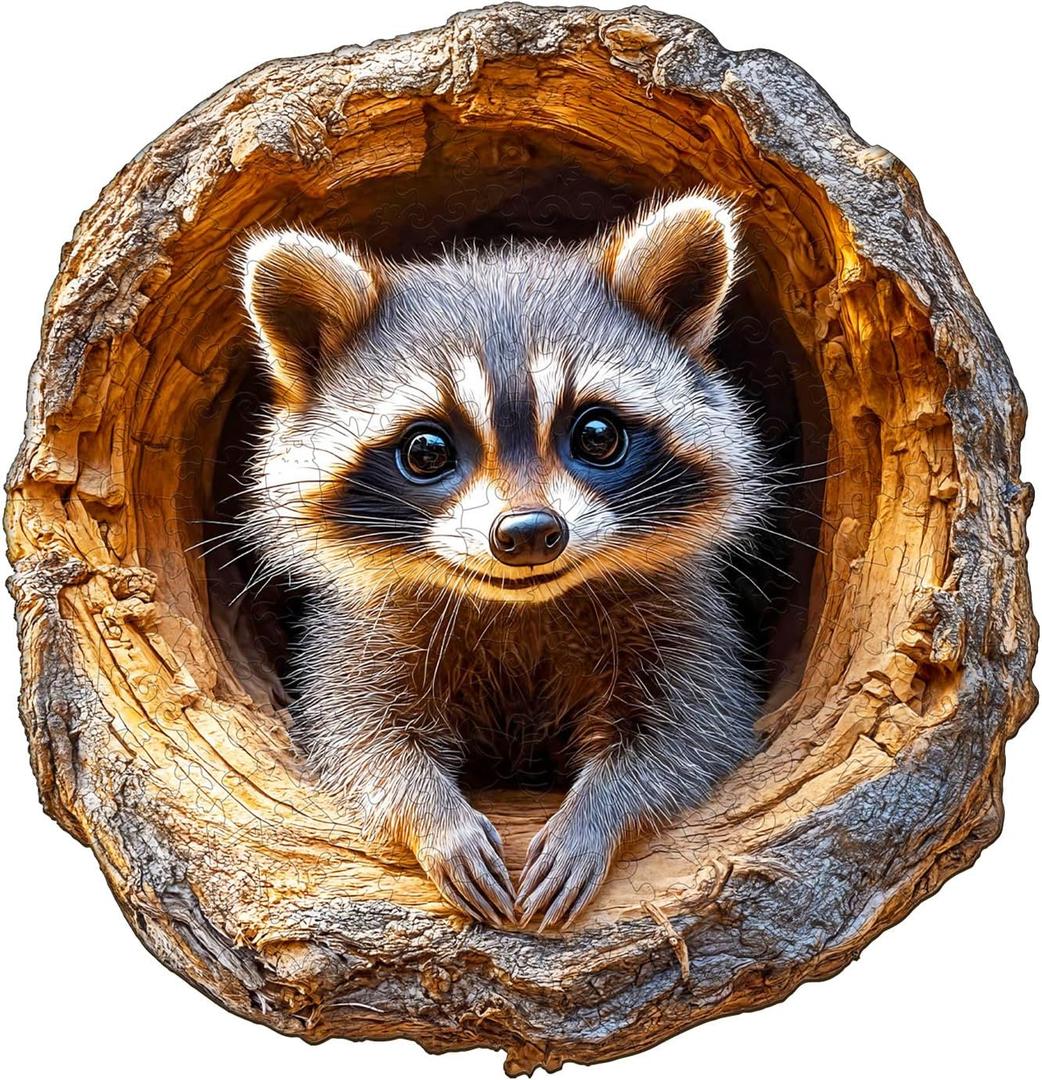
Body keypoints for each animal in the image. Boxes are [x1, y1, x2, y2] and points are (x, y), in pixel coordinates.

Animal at [235, 190, 770, 930]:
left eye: (597, 435)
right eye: (426, 450)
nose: (528, 533)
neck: (520, 603)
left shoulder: (685, 622)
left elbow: (688, 732)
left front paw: (597, 814)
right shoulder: (360, 633)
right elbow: (360, 737)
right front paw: (434, 818)